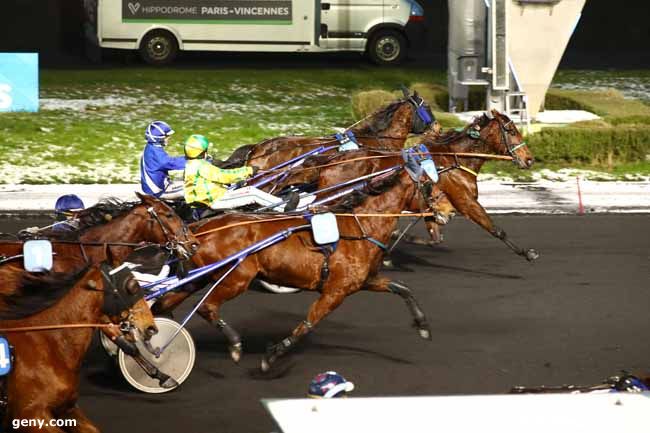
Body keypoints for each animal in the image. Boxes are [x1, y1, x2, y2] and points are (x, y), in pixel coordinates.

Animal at [154, 167, 432, 370]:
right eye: (429, 185)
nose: (438, 212)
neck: (360, 229)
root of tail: (200, 228)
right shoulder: (335, 292)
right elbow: (308, 323)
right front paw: (272, 356)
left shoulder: (364, 281)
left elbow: (402, 288)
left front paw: (423, 325)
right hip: (236, 278)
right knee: (207, 307)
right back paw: (233, 345)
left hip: (198, 278)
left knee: (164, 303)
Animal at [420, 109, 536, 262]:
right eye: (511, 131)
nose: (529, 159)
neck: (456, 161)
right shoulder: (466, 200)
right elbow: (496, 229)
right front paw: (526, 253)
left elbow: (435, 236)